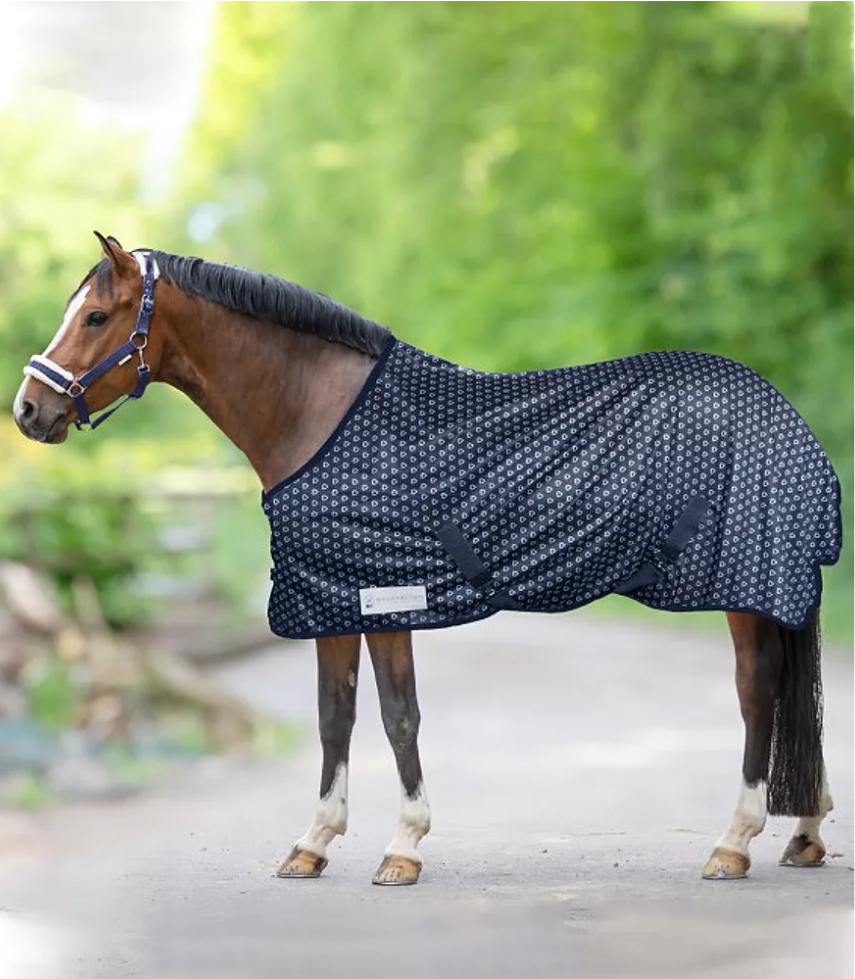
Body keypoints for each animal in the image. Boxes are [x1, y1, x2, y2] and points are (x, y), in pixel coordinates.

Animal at [13, 232, 839, 886]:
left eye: (95, 316)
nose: (27, 409)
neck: (318, 414)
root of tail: (781, 409)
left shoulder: (384, 596)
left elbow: (397, 716)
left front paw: (402, 847)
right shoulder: (331, 599)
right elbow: (335, 716)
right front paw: (312, 843)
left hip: (740, 585)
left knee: (756, 690)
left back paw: (732, 843)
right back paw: (803, 834)